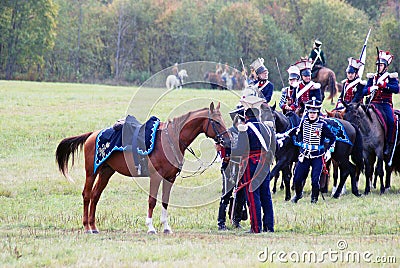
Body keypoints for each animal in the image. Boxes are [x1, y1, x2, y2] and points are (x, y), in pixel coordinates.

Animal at [56, 102, 231, 234]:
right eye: (216, 122)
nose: (228, 141)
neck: (169, 140)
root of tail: (93, 134)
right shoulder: (155, 176)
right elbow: (152, 201)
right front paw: (151, 227)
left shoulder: (169, 178)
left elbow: (165, 201)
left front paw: (166, 227)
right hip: (91, 172)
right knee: (86, 195)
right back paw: (86, 227)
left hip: (106, 172)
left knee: (95, 196)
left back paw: (94, 227)